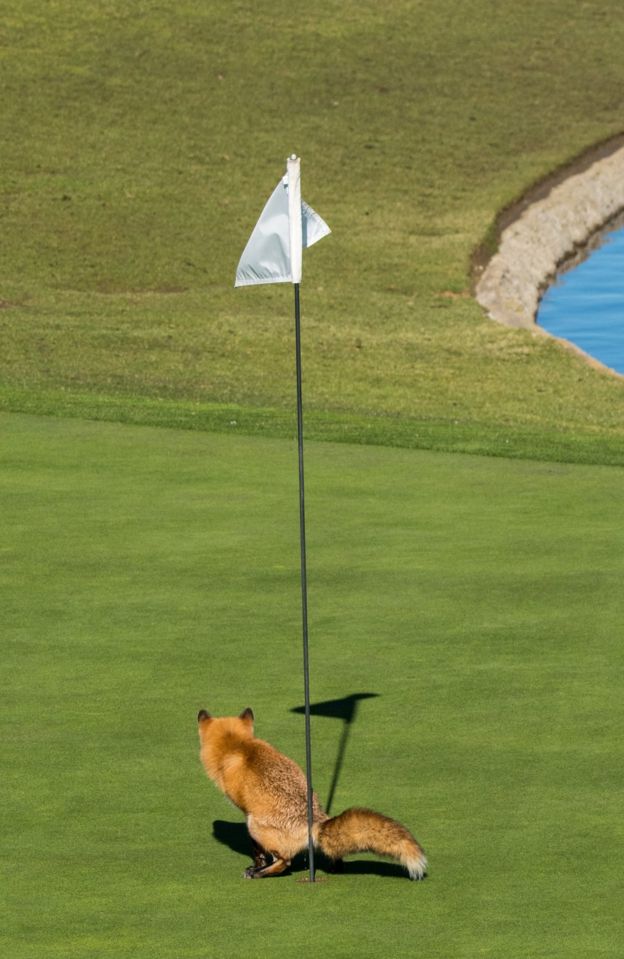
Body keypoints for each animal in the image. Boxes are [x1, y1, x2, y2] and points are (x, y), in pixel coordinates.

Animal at [197, 707, 427, 880]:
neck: (238, 746)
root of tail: (315, 823)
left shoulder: (247, 814)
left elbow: (256, 850)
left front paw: (256, 865)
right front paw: (257, 863)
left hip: (256, 826)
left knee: (285, 862)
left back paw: (260, 873)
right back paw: (335, 866)